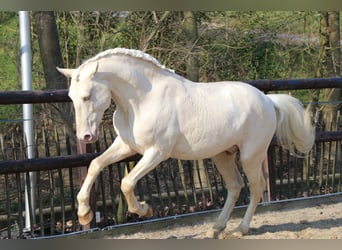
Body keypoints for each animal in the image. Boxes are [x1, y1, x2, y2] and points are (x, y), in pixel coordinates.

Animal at [56, 47, 316, 237]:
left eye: (87, 96)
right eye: (71, 97)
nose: (85, 137)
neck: (142, 100)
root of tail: (267, 100)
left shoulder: (157, 152)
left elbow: (127, 183)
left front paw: (144, 209)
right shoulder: (126, 146)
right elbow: (95, 165)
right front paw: (84, 214)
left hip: (250, 155)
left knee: (257, 187)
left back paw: (240, 229)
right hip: (223, 155)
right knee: (235, 186)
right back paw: (217, 228)